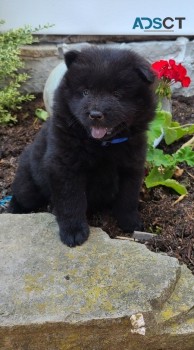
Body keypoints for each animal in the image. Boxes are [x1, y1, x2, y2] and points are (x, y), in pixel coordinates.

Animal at [8, 47, 156, 246]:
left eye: (117, 94)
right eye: (85, 92)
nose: (95, 114)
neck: (102, 146)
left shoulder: (131, 167)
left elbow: (128, 198)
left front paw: (130, 223)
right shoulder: (66, 168)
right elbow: (72, 201)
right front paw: (74, 232)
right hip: (29, 186)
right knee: (20, 195)